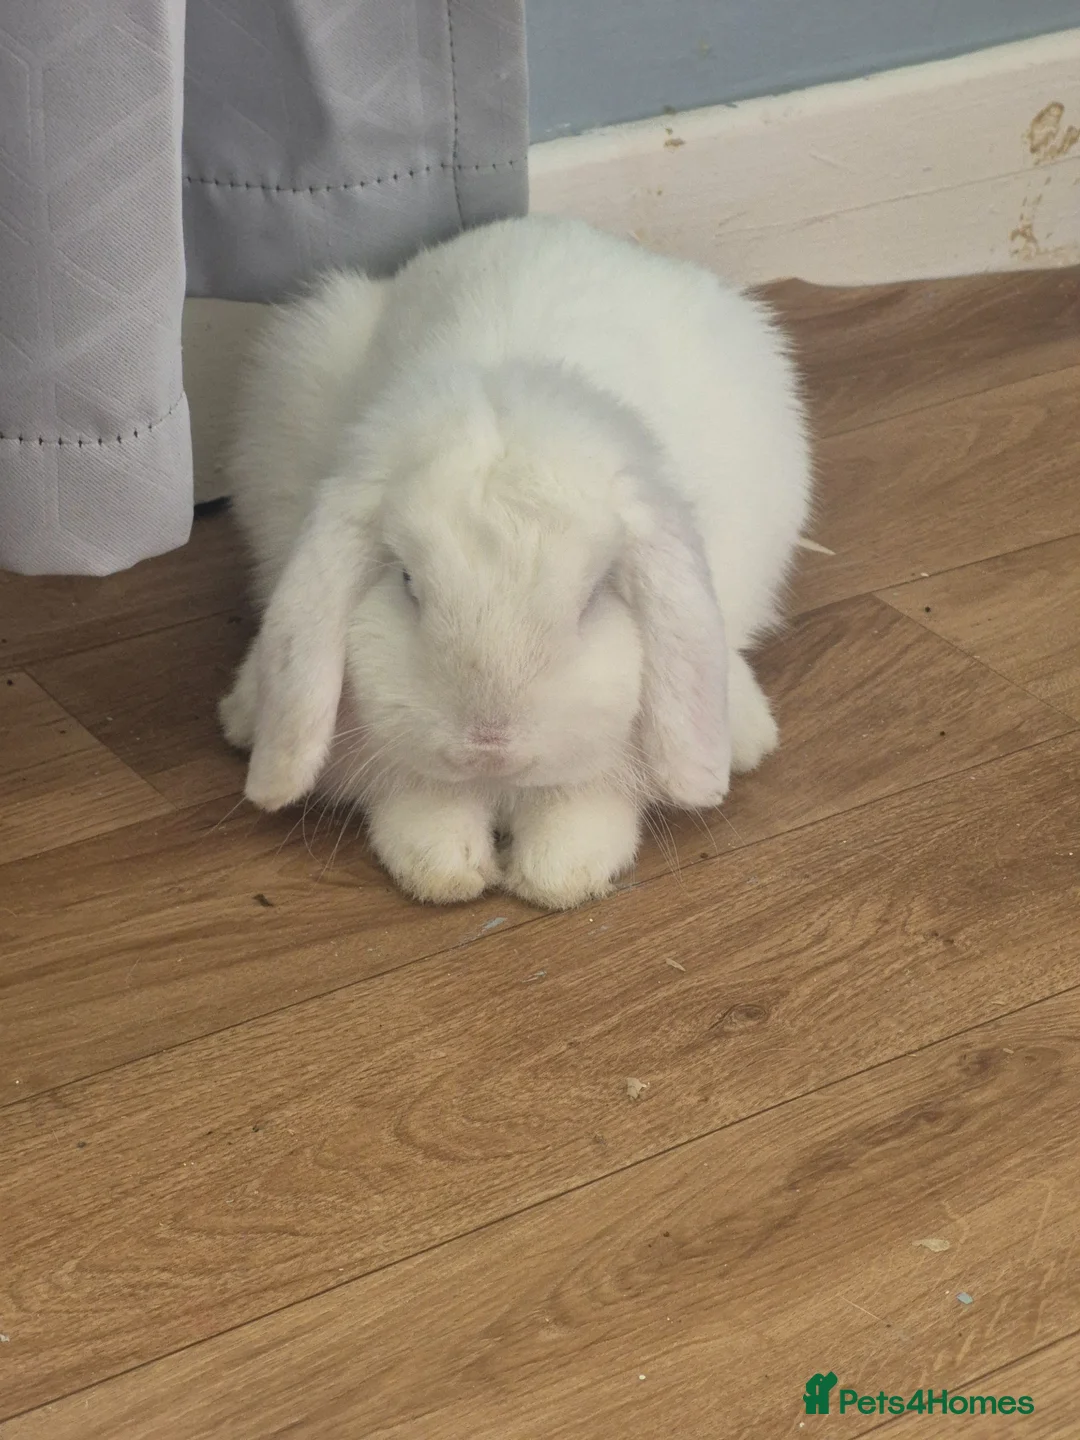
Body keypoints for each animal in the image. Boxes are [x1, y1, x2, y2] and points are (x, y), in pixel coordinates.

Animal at [219, 214, 812, 910]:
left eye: (591, 598)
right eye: (407, 582)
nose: (488, 747)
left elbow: (584, 809)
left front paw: (558, 875)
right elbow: (424, 808)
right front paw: (445, 869)